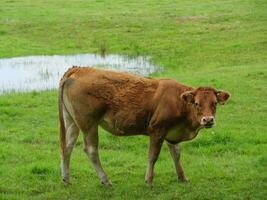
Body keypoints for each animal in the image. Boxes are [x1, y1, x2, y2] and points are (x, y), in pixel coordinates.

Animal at [59, 66, 231, 187]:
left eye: (215, 103)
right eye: (196, 103)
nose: (208, 120)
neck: (178, 101)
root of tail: (79, 69)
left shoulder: (172, 132)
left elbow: (176, 154)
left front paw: (182, 177)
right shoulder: (157, 130)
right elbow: (152, 156)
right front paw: (149, 180)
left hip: (72, 121)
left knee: (67, 147)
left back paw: (66, 179)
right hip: (89, 123)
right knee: (91, 150)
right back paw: (106, 180)